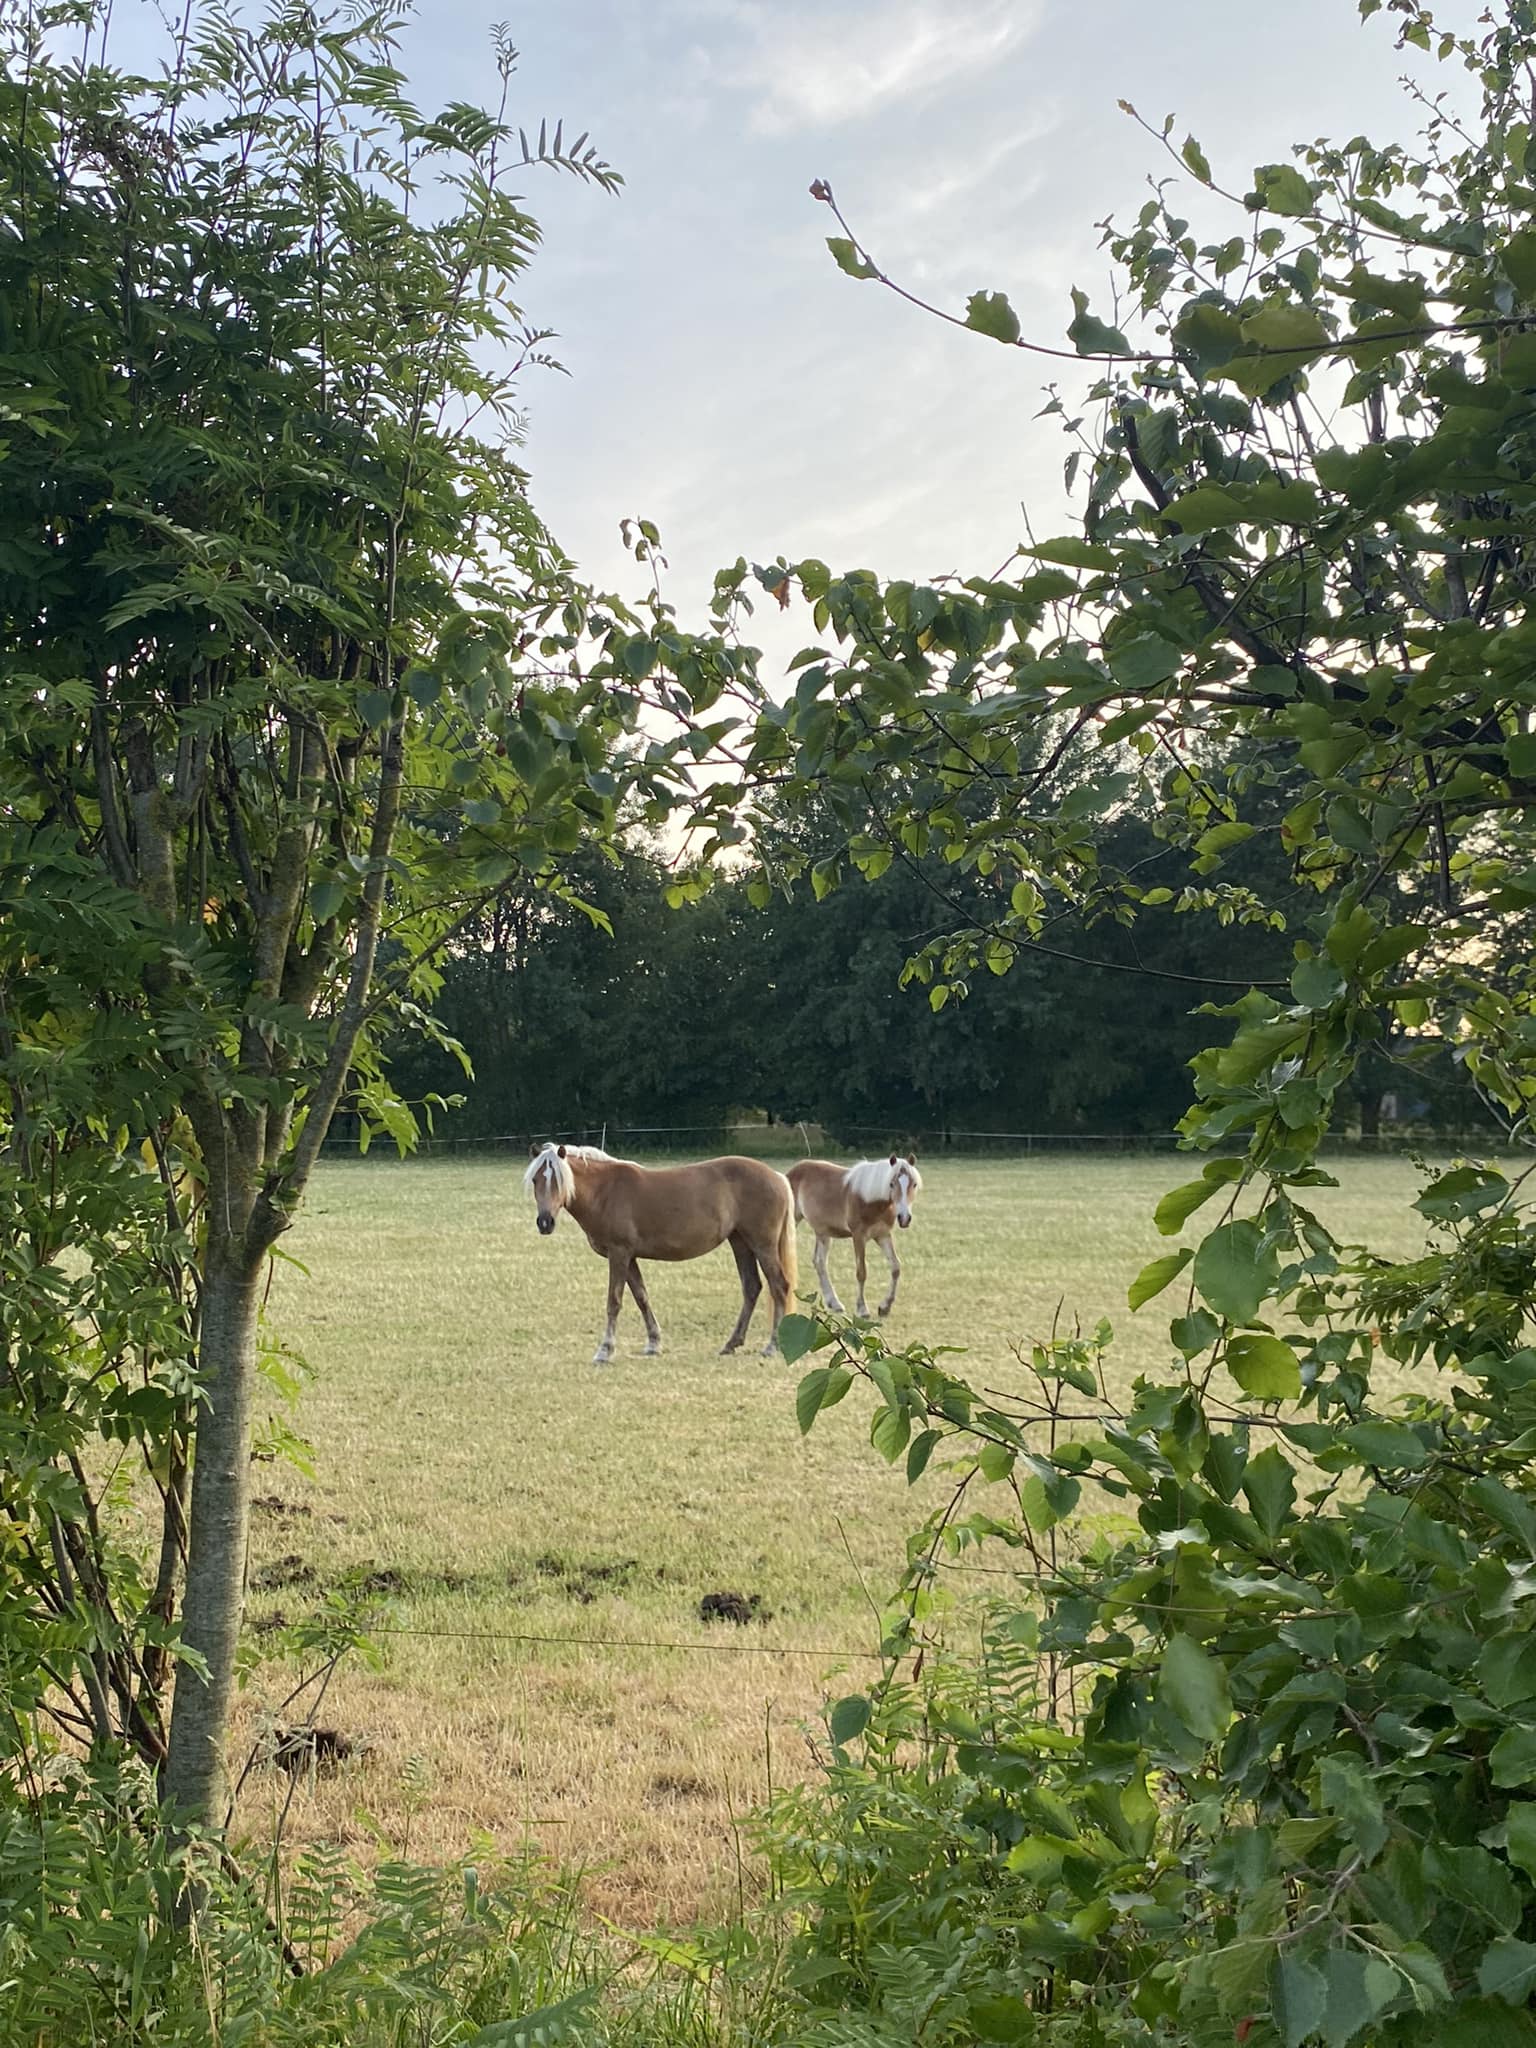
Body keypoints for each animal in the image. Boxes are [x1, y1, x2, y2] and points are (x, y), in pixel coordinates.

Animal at [523, 1144, 798, 1366]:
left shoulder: (619, 1253)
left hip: (762, 1244)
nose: (545, 1222)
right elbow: (642, 1297)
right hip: (740, 1242)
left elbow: (614, 1301)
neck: (605, 1192)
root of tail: (776, 1176)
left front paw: (605, 1351)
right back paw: (731, 1344)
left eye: (558, 1180)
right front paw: (653, 1343)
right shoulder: (630, 1257)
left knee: (779, 1286)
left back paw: (772, 1346)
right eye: (536, 1180)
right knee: (751, 1287)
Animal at [785, 1154, 923, 1319]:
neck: (870, 1199)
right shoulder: (858, 1236)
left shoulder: (883, 1235)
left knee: (819, 1262)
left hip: (823, 1233)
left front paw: (885, 1307)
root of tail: (790, 1172)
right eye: (891, 1184)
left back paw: (834, 1303)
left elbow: (895, 1267)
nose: (904, 1218)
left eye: (914, 1184)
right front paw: (862, 1309)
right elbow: (861, 1272)